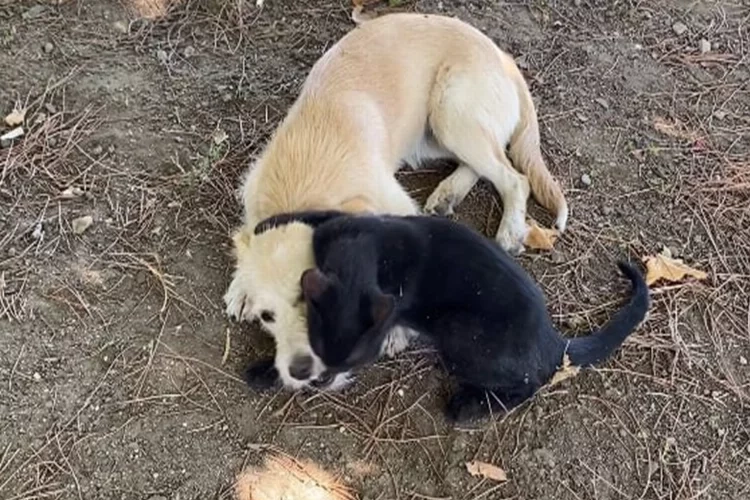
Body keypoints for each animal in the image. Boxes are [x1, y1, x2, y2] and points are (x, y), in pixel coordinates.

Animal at [226, 10, 568, 386]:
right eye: (267, 316)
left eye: (311, 299)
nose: (303, 373)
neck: (300, 186)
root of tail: (500, 55)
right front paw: (240, 285)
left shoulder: (399, 212)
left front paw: (395, 331)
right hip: (433, 137)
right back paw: (449, 192)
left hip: (451, 113)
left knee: (515, 177)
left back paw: (509, 229)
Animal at [250, 209, 648, 420]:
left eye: (354, 362)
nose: (321, 381)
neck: (369, 253)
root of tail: (553, 339)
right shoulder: (344, 222)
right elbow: (316, 213)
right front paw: (267, 223)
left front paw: (272, 373)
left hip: (458, 331)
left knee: (528, 384)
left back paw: (468, 407)